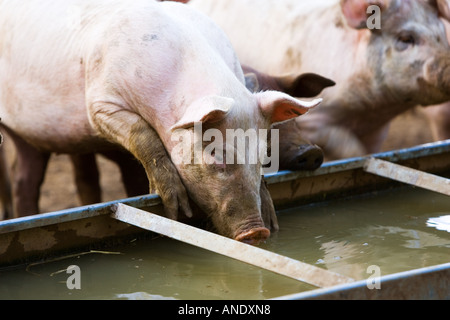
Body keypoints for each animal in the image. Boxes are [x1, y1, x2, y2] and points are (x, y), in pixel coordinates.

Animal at [0, 0, 324, 242]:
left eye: (263, 156)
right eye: (217, 157)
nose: (258, 232)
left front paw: (272, 217)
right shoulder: (100, 103)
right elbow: (142, 133)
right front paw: (174, 209)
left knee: (26, 176)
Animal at [191, 0, 450, 160]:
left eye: (442, 35)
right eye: (406, 38)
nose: (448, 67)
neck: (367, 113)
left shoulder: (377, 129)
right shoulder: (314, 120)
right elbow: (352, 149)